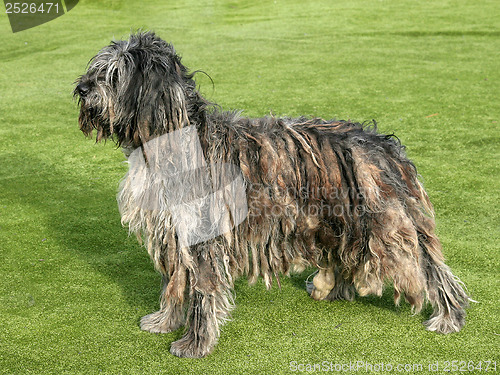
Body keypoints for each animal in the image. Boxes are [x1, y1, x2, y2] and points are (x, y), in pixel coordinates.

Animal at [74, 31, 468, 358]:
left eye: (114, 74)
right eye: (97, 68)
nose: (81, 88)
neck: (174, 142)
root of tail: (382, 144)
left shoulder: (202, 235)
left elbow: (202, 291)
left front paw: (195, 343)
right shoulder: (172, 232)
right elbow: (174, 284)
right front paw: (164, 321)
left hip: (382, 224)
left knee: (430, 267)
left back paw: (448, 316)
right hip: (339, 219)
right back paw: (331, 288)